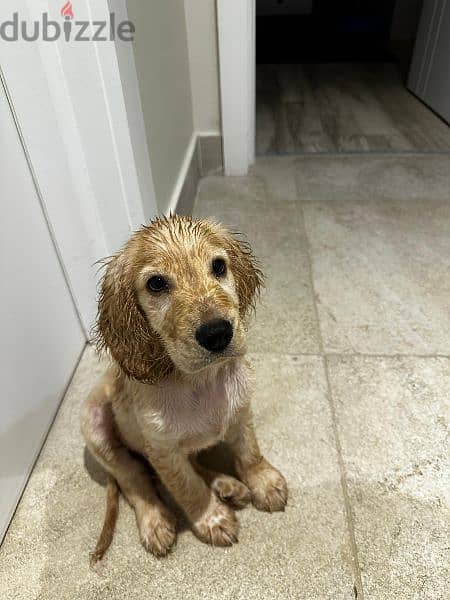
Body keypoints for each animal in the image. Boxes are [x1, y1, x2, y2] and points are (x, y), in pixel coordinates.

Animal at [81, 216, 288, 564]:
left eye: (218, 266)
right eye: (156, 284)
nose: (217, 333)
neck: (200, 381)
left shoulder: (240, 411)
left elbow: (249, 452)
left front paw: (263, 482)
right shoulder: (162, 448)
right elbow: (186, 486)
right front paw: (211, 518)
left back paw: (227, 485)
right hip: (95, 427)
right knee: (134, 479)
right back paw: (155, 521)